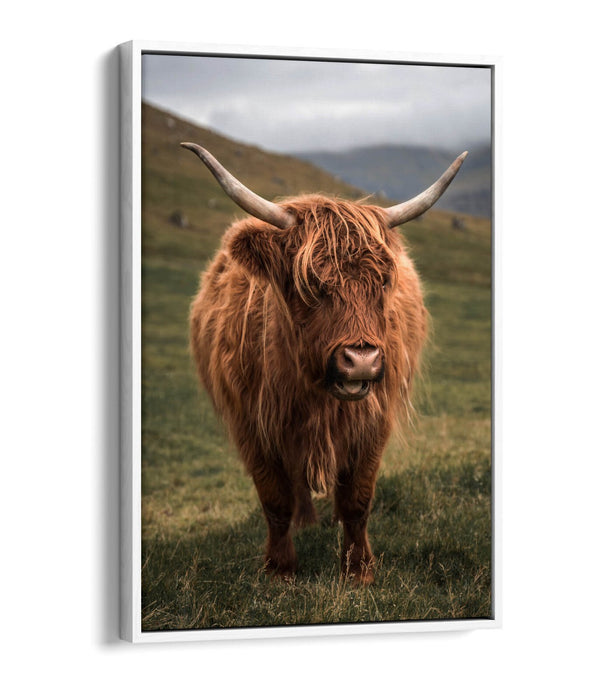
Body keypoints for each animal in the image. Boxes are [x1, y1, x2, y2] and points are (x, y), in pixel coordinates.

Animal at [182, 142, 467, 584]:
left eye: (383, 281)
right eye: (311, 283)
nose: (361, 360)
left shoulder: (373, 420)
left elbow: (357, 499)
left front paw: (359, 570)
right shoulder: (251, 424)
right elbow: (275, 499)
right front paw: (280, 568)